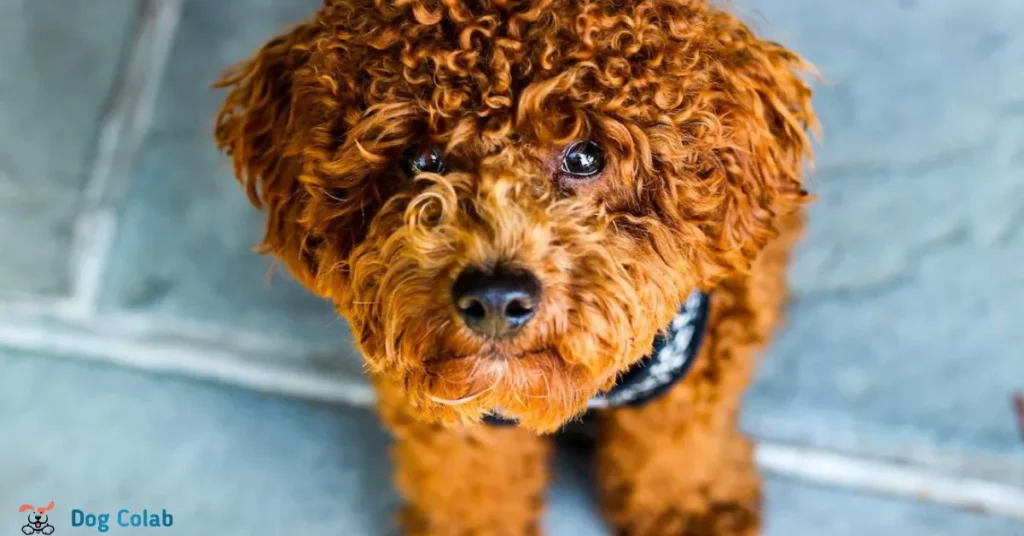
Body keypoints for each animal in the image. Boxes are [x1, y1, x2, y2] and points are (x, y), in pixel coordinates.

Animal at [211, 2, 811, 532]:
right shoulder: (449, 409)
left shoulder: (693, 378)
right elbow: (471, 483)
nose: (496, 298)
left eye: (585, 155)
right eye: (421, 160)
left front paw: (694, 510)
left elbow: (677, 450)